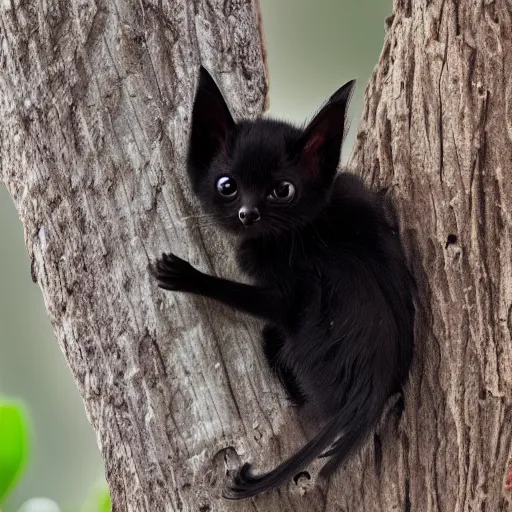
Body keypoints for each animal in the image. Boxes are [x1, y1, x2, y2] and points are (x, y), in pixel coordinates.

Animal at [151, 67, 412, 500]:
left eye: (282, 191)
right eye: (227, 186)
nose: (248, 214)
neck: (299, 233)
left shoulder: (292, 285)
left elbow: (261, 300)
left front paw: (185, 275)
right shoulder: (352, 191)